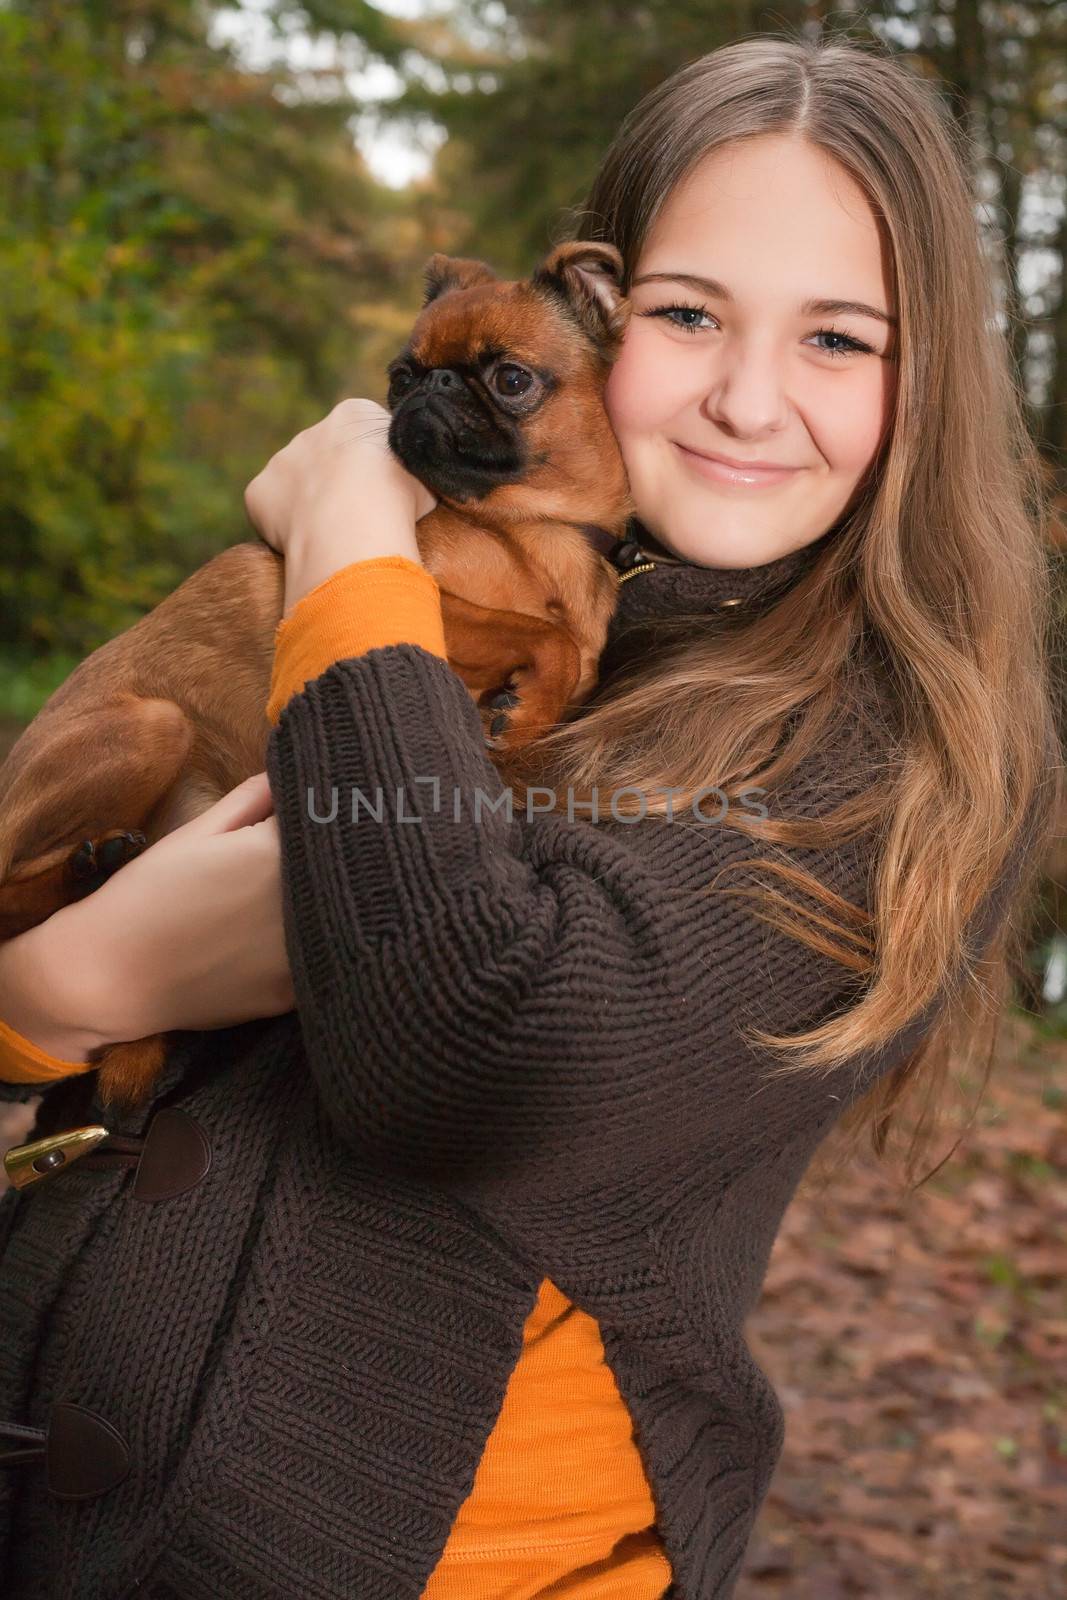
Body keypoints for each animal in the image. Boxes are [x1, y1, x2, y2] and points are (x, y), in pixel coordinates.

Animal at [0, 240, 633, 1113]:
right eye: (401, 375)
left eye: (510, 378)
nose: (429, 389)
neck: (533, 533)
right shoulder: (421, 595)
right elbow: (544, 637)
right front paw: (528, 703)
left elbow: (564, 655)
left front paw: (527, 714)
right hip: (148, 726)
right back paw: (92, 868)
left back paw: (101, 871)